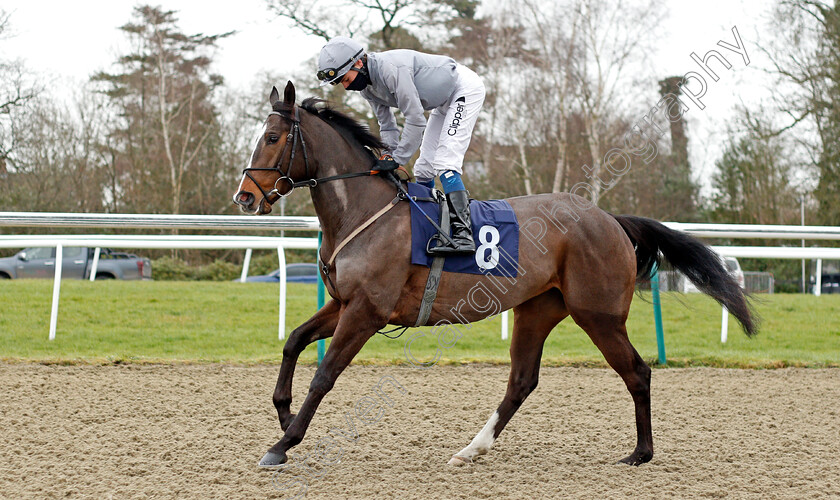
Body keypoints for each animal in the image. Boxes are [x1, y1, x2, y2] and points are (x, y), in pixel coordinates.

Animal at [233, 81, 756, 468]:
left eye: (273, 138)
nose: (245, 197)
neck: (364, 211)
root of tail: (610, 218)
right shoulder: (343, 302)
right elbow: (293, 341)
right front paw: (283, 415)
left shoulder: (366, 310)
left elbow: (324, 374)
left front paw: (283, 445)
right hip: (538, 310)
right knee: (522, 380)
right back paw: (471, 448)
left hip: (599, 314)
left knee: (637, 371)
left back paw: (641, 453)